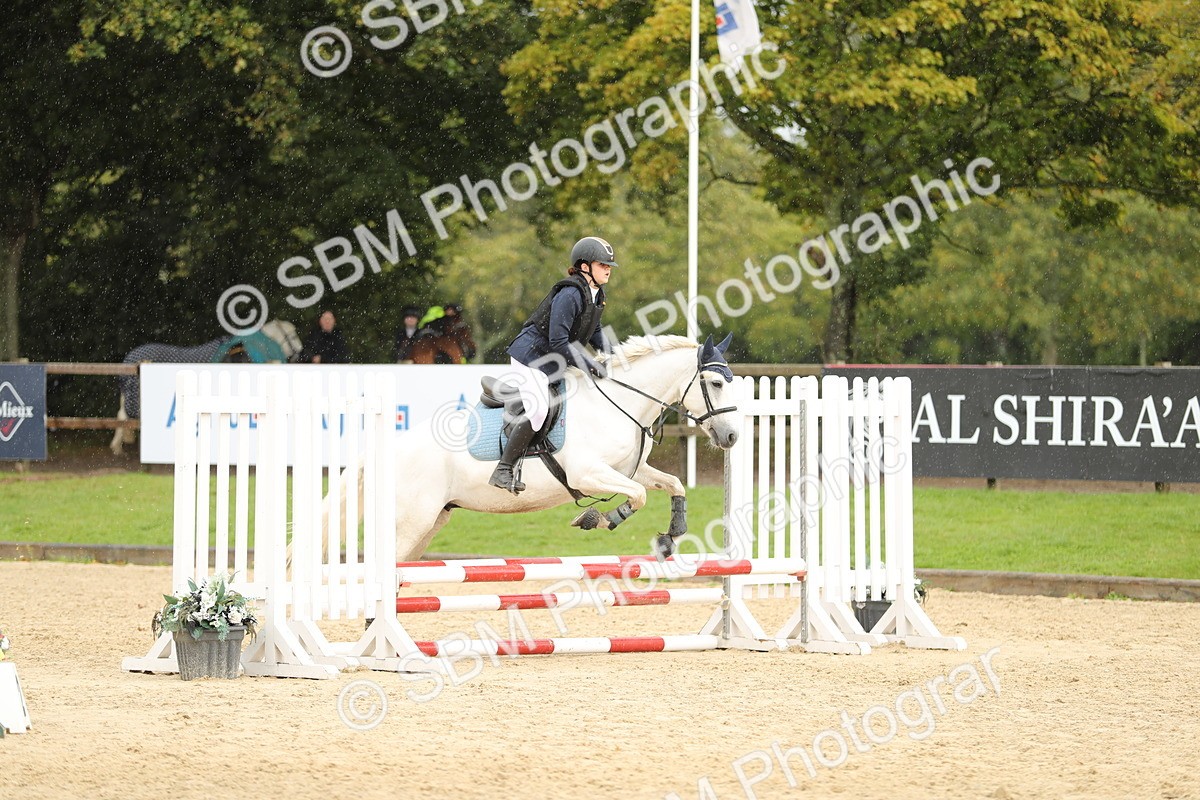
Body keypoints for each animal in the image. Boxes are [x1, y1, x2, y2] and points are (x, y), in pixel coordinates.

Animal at [322, 334, 740, 562]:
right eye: (716, 384)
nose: (732, 438)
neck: (620, 402)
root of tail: (385, 449)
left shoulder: (627, 470)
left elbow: (672, 483)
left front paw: (672, 535)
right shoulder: (588, 474)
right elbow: (636, 496)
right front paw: (598, 518)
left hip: (430, 521)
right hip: (412, 521)